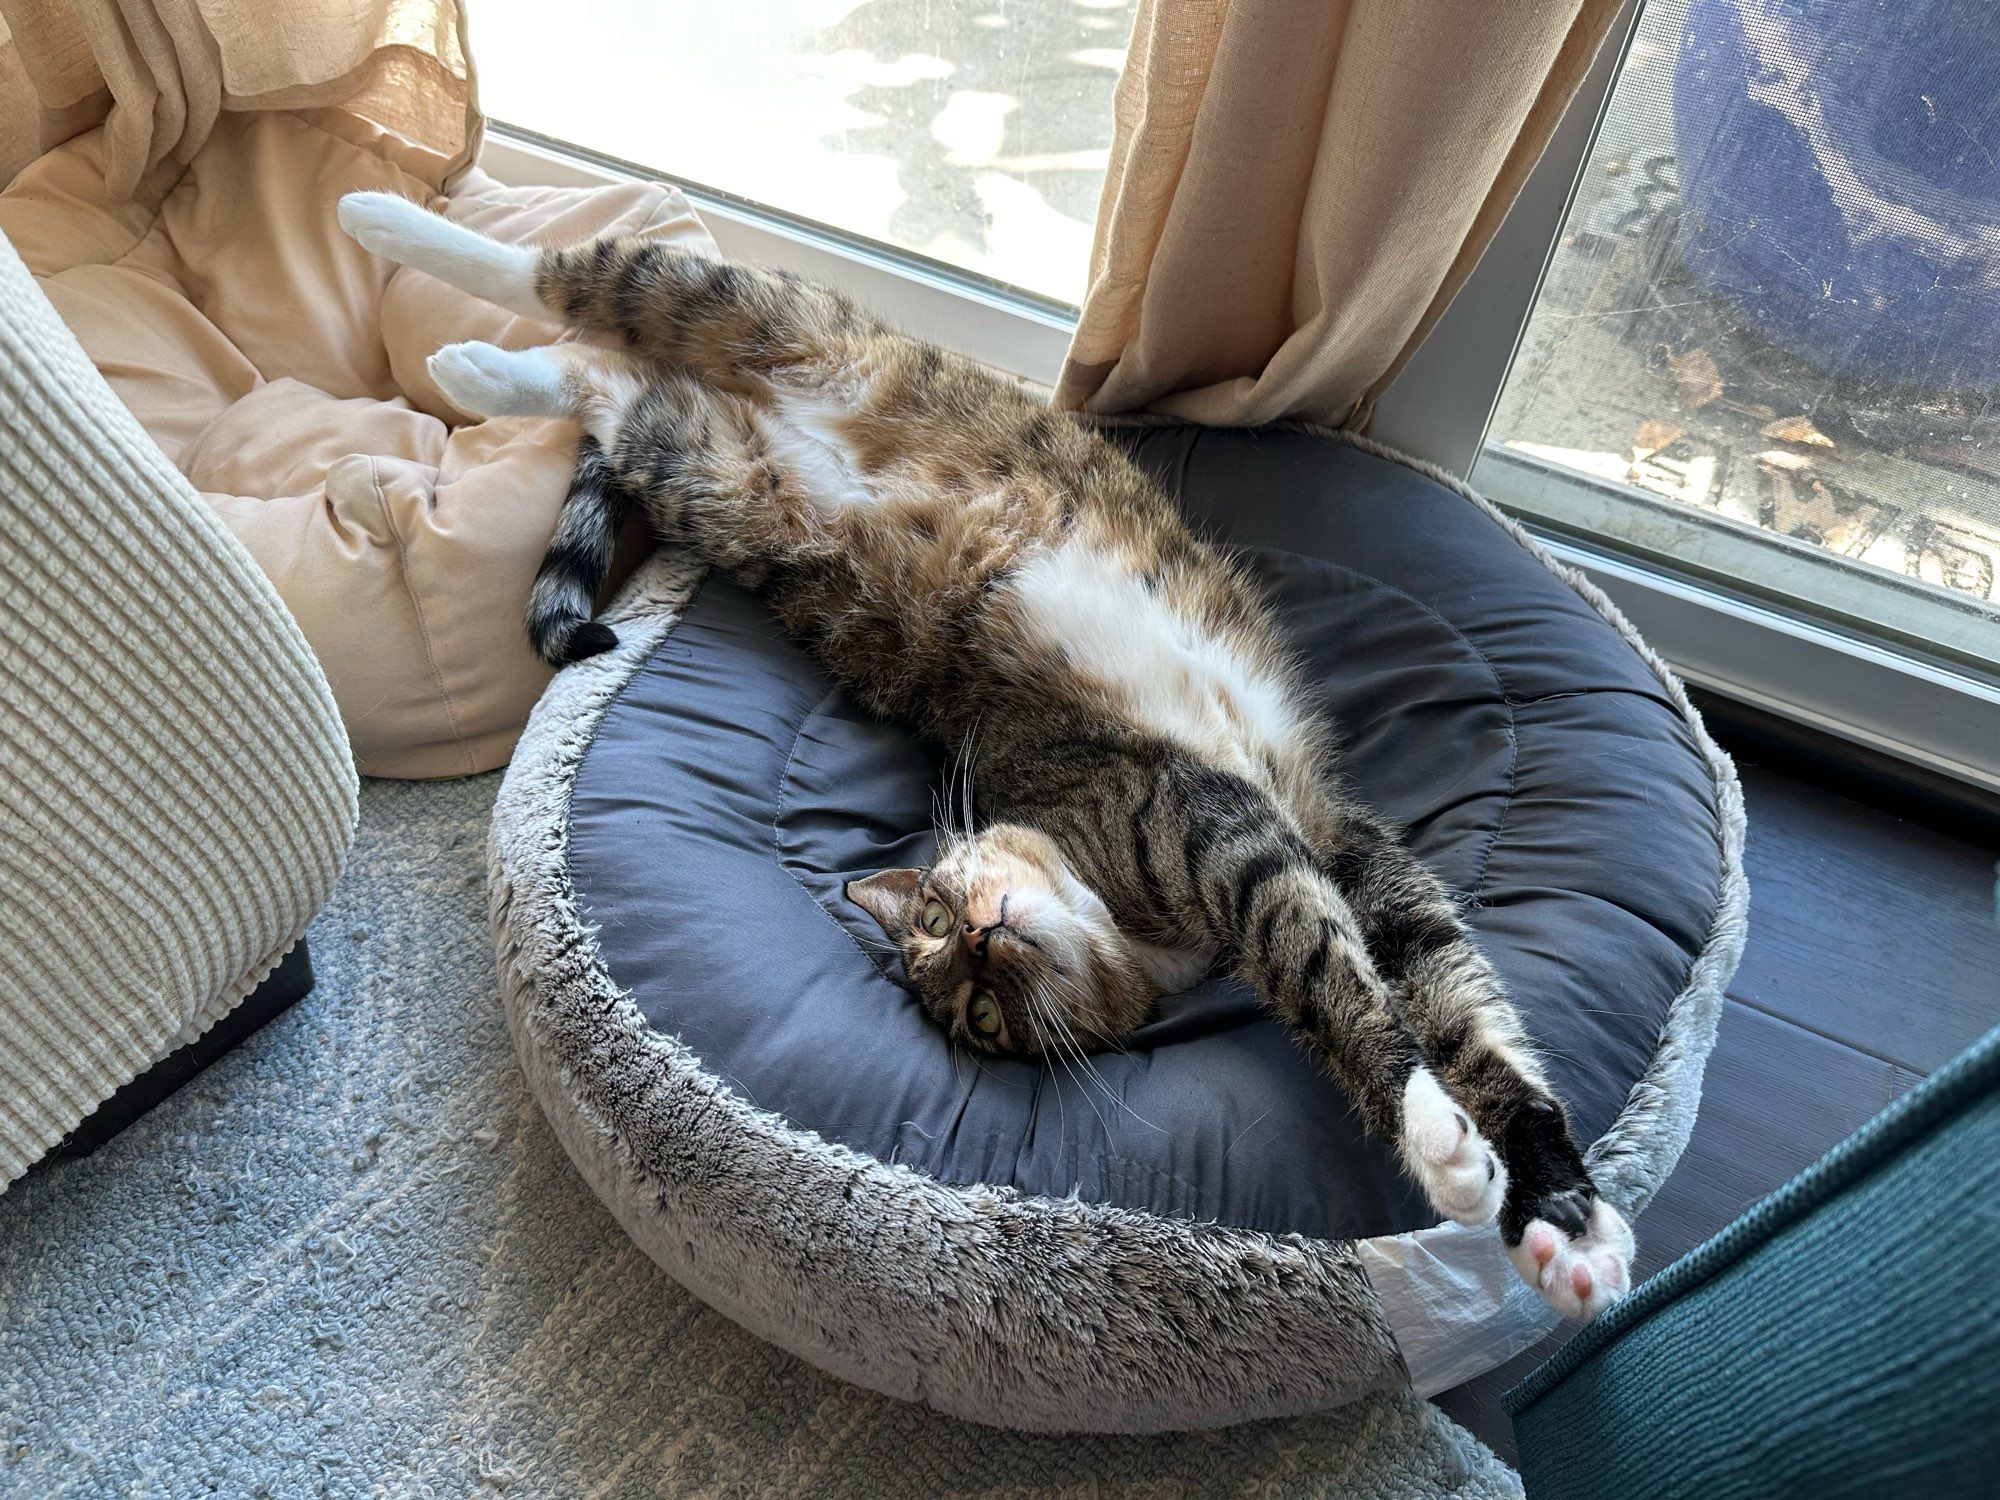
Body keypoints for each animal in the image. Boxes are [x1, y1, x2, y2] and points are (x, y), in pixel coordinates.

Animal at [336, 185, 1632, 1312]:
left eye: (939, 915)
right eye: (971, 1002)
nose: (979, 933)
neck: (1122, 910)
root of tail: (769, 411)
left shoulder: (1329, 842)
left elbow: (1459, 1010)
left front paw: (1556, 1214)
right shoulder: (1237, 840)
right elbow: (1346, 993)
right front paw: (1445, 1149)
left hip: (750, 357)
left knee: (591, 304)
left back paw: (400, 246)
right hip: (708, 467)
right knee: (595, 374)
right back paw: (439, 316)